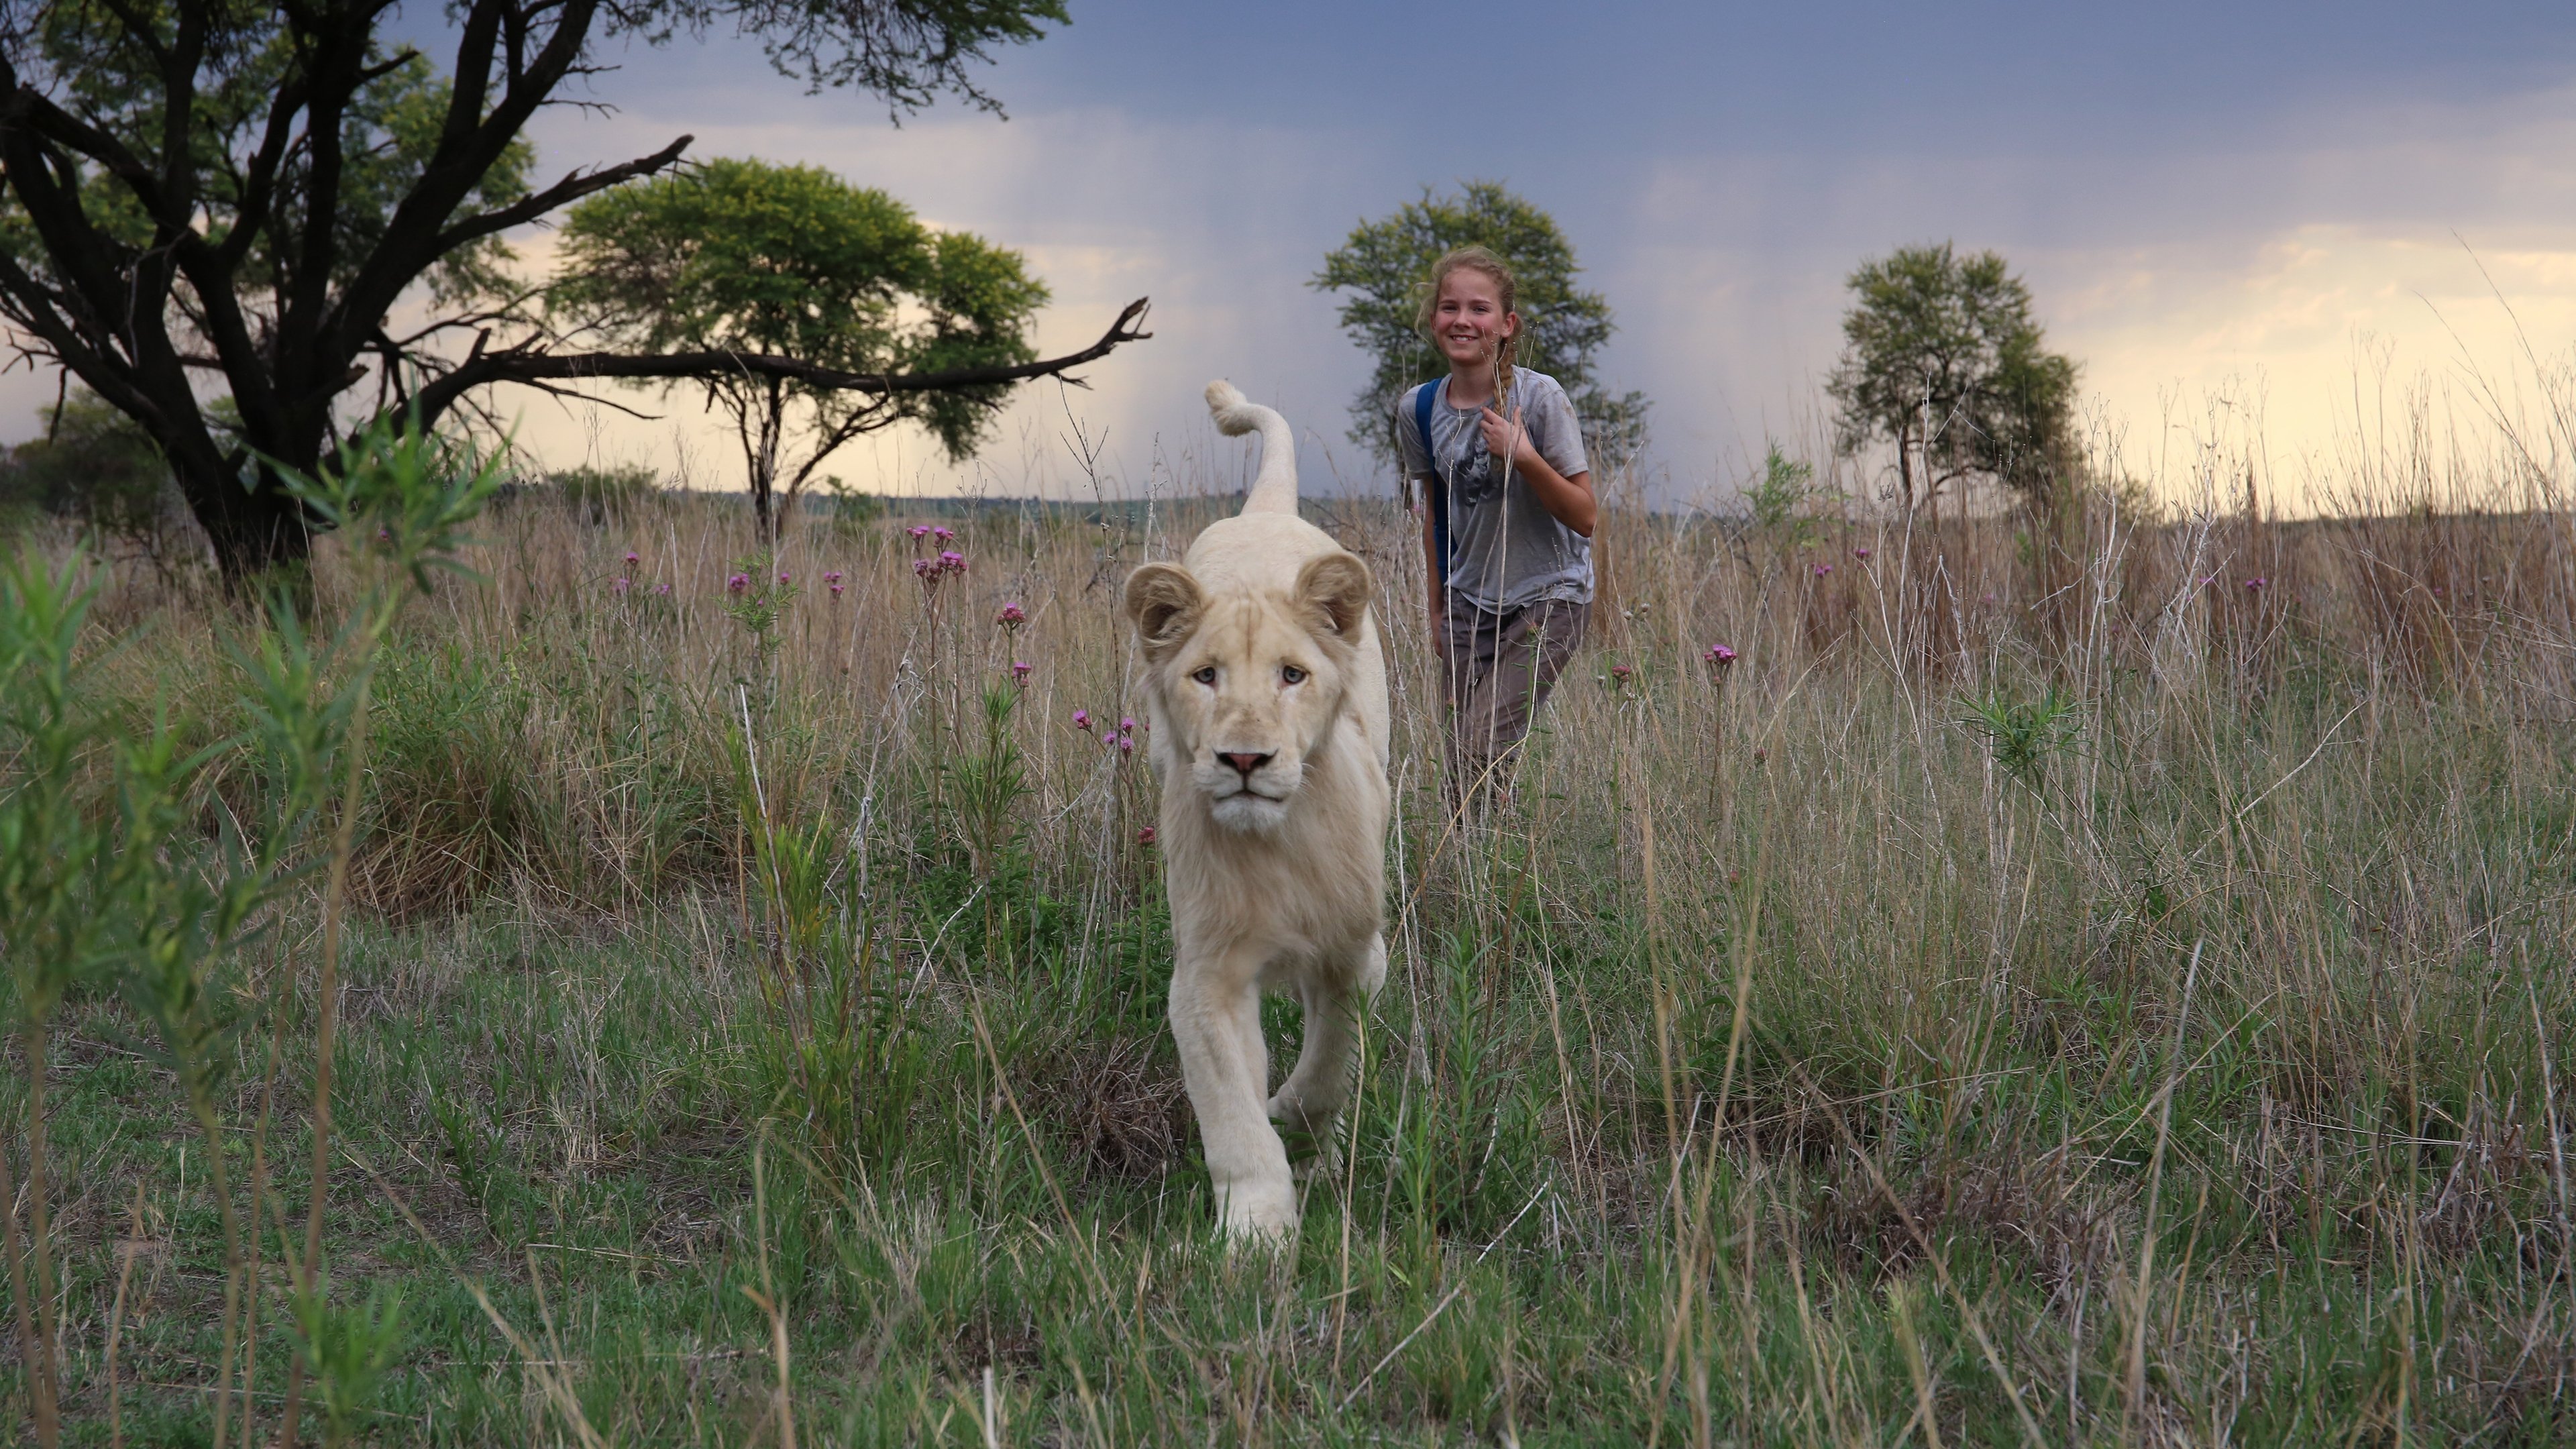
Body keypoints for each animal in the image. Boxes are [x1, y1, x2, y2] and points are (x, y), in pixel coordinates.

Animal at [1123, 378, 1391, 1237]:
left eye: (1291, 675)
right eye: (1205, 676)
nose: (1245, 760)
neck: (1276, 844)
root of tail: (1264, 509)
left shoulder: (1355, 957)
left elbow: (1329, 1067)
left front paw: (1299, 1133)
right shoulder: (1206, 975)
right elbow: (1231, 1113)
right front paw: (1256, 1232)